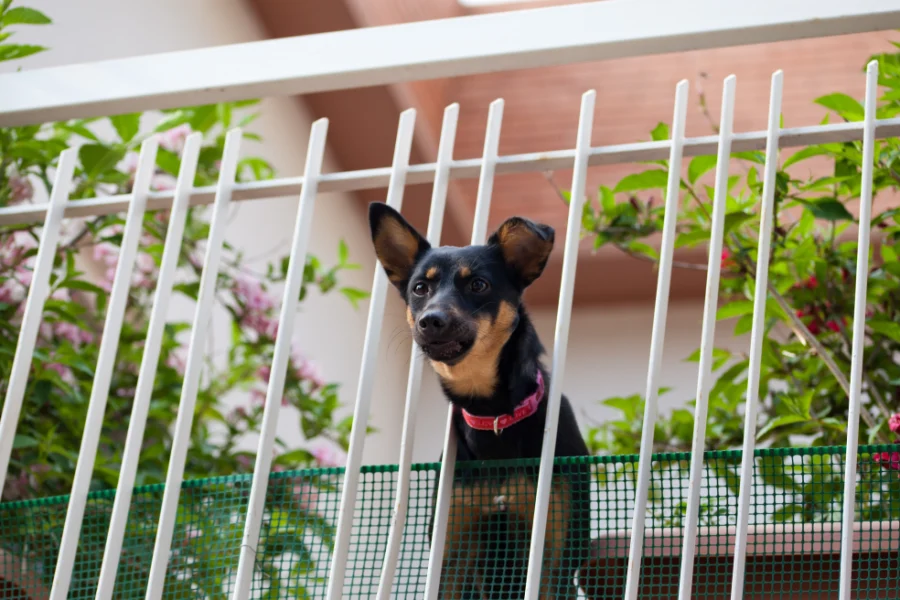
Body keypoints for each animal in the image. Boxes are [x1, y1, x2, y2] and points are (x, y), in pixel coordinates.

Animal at [366, 203, 592, 600]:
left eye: (478, 285)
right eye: (420, 288)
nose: (430, 321)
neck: (493, 416)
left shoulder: (554, 556)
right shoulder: (450, 557)